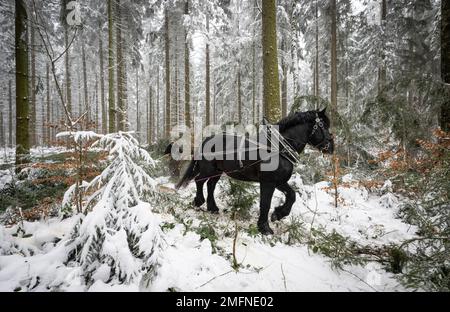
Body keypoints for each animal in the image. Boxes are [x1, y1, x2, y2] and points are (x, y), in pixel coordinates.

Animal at [172, 109, 334, 234]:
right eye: (324, 126)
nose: (331, 147)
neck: (278, 148)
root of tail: (206, 140)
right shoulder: (268, 182)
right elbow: (265, 203)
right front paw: (264, 227)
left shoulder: (279, 181)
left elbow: (292, 195)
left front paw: (278, 214)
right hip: (208, 170)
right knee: (200, 181)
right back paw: (199, 201)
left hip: (218, 171)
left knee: (210, 185)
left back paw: (213, 208)